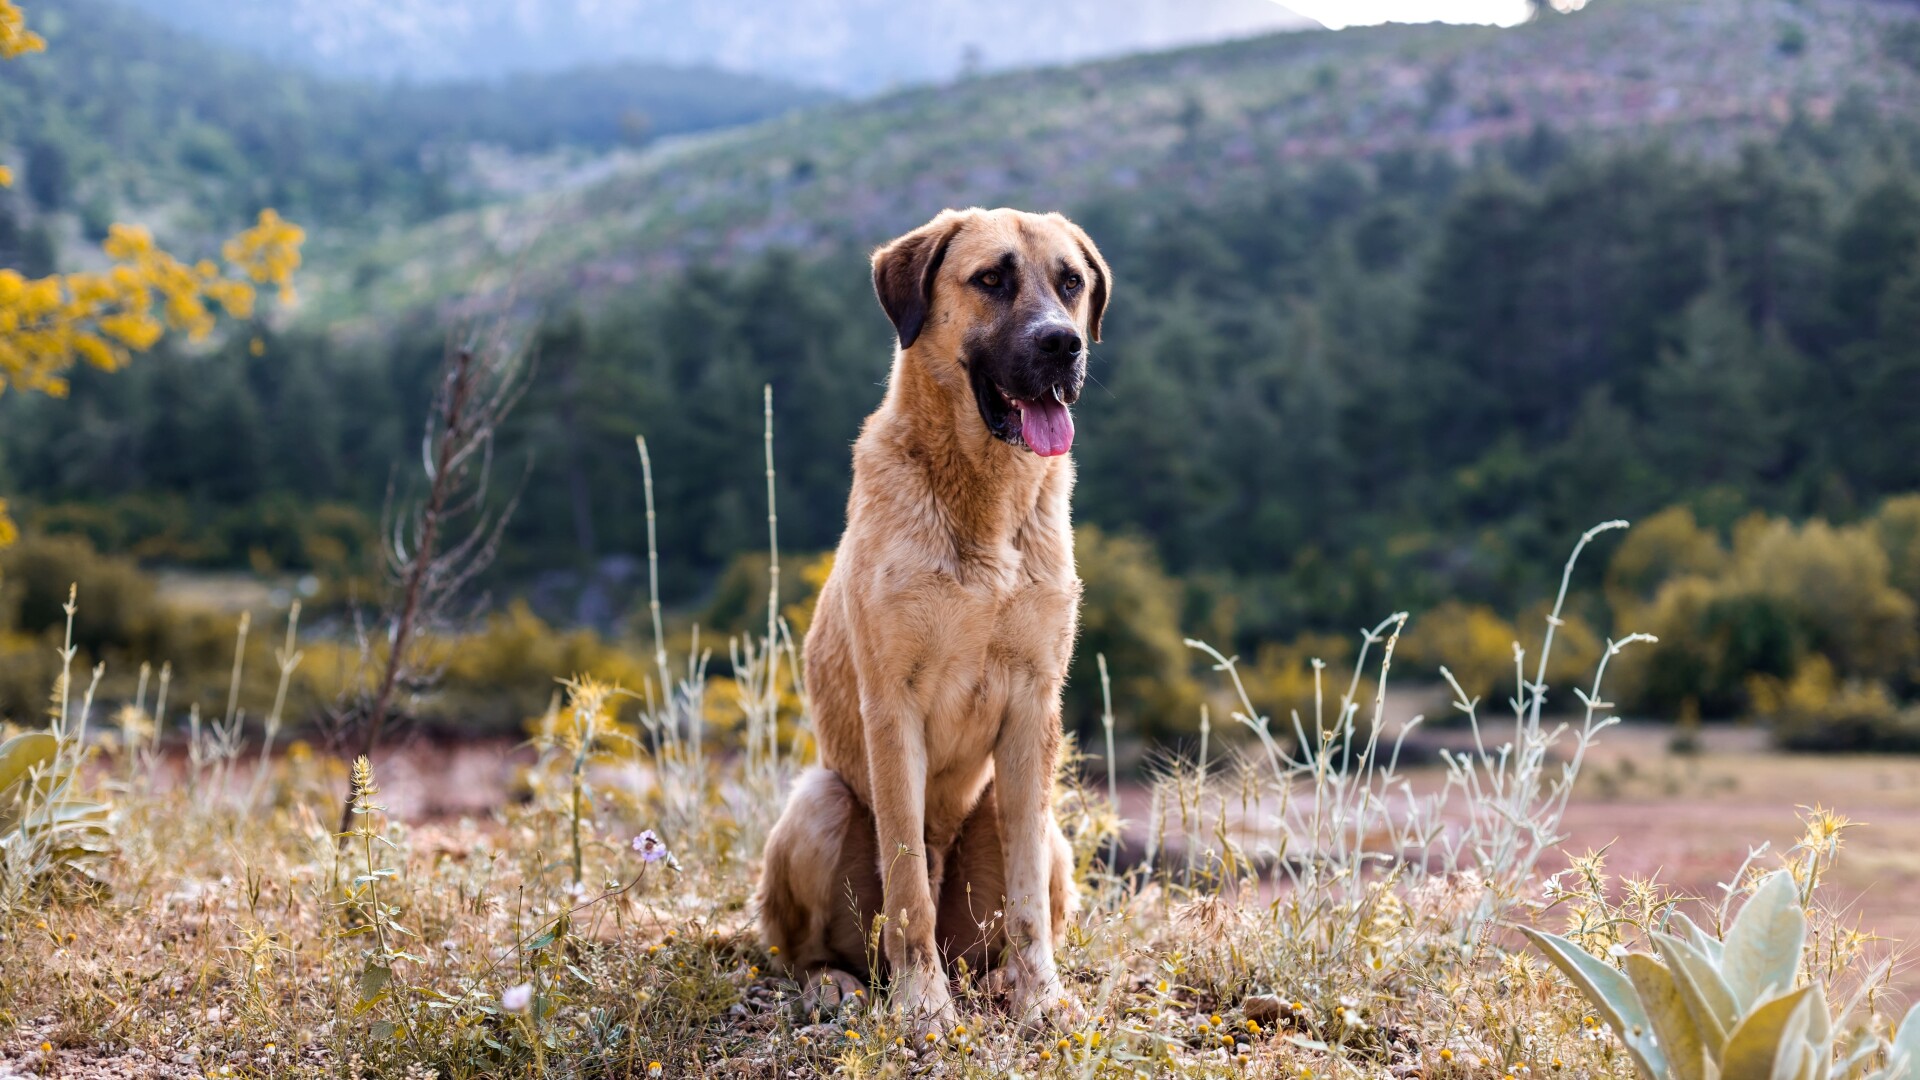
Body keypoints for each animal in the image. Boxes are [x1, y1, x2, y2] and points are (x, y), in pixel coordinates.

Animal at [752, 205, 1113, 1022]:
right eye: (992, 279)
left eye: (1071, 282)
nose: (1064, 344)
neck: (984, 495)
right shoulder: (893, 708)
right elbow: (908, 883)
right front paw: (922, 1009)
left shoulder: (1033, 706)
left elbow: (1025, 902)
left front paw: (1042, 997)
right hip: (820, 803)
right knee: (811, 947)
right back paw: (836, 983)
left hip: (1042, 828)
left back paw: (1002, 981)